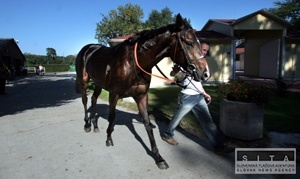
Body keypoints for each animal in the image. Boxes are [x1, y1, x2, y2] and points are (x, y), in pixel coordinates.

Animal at [75, 14, 210, 169]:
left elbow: (147, 124)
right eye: (189, 43)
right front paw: (108, 138)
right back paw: (87, 125)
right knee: (85, 100)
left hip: (98, 83)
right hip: (84, 81)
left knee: (94, 99)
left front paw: (159, 158)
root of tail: (87, 49)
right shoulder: (114, 94)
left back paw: (95, 126)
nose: (205, 73)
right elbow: (112, 117)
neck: (133, 62)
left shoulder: (141, 96)